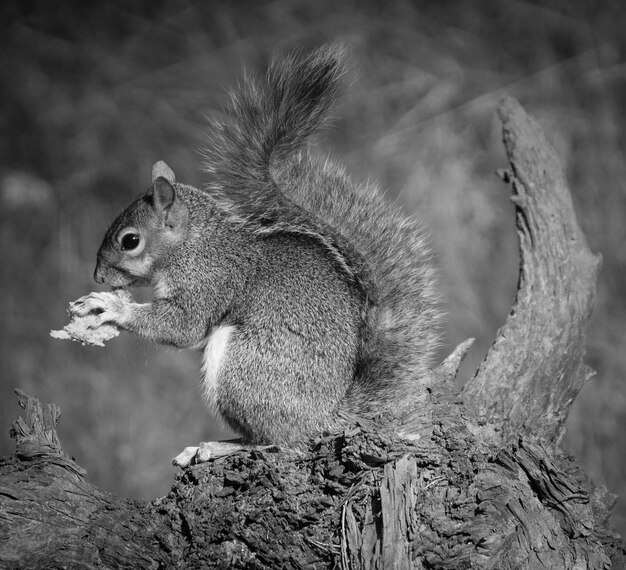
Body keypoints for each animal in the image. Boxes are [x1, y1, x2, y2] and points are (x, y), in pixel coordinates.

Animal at [73, 45, 442, 466]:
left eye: (130, 240)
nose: (99, 277)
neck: (193, 243)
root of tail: (327, 415)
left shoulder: (208, 281)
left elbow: (183, 327)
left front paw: (112, 307)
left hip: (246, 368)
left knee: (279, 442)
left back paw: (216, 447)